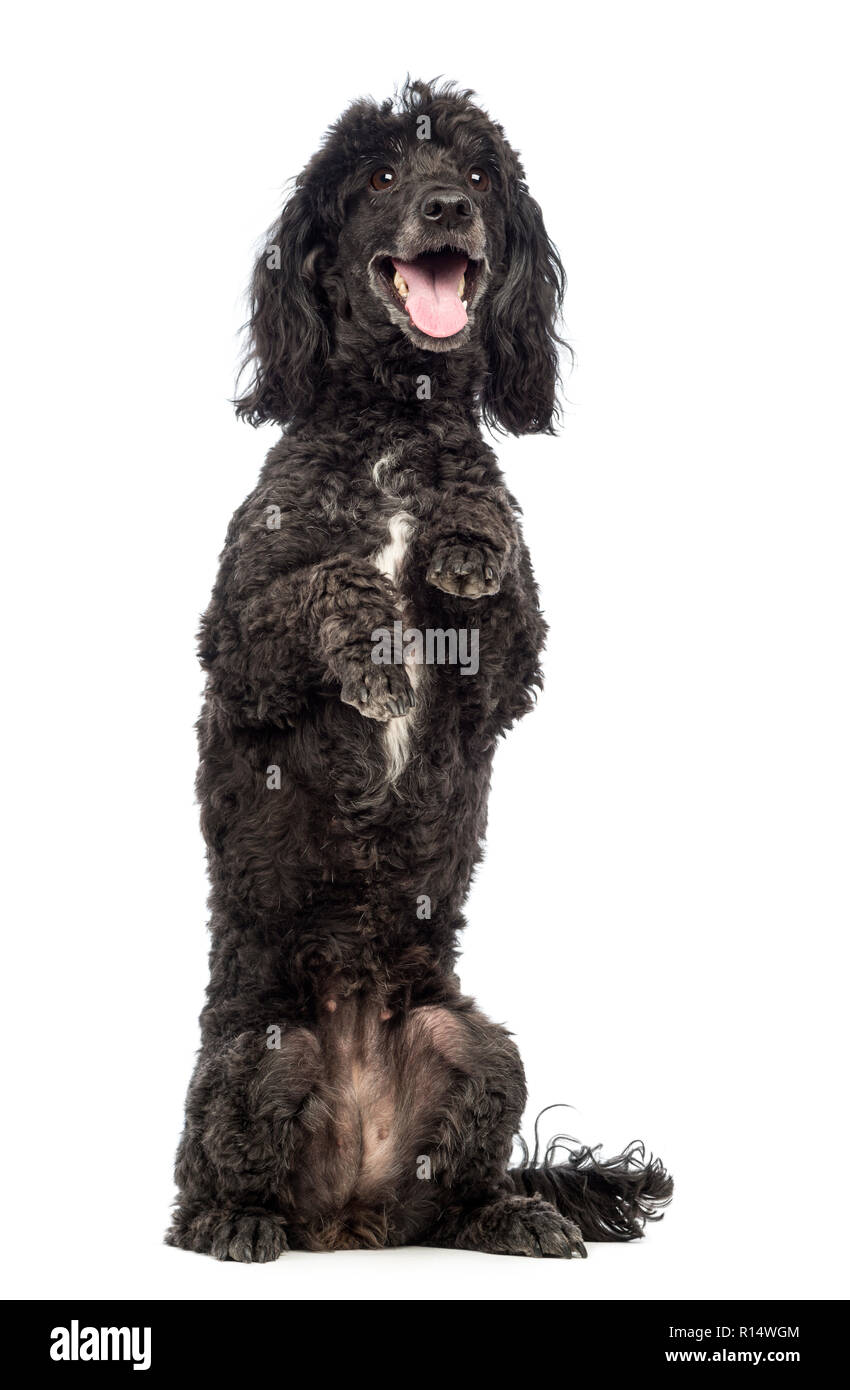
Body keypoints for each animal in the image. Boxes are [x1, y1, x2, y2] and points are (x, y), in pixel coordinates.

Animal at [164, 81, 669, 1267]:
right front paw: (377, 648)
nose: (448, 207)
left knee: (458, 1189)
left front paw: (462, 540)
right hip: (259, 1050)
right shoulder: (238, 646)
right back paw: (234, 1220)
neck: (397, 412)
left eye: (480, 175)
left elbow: (491, 551)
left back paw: (516, 1212)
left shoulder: (510, 673)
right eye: (381, 176)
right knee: (206, 1183)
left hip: (473, 1043)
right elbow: (326, 584)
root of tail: (353, 1214)